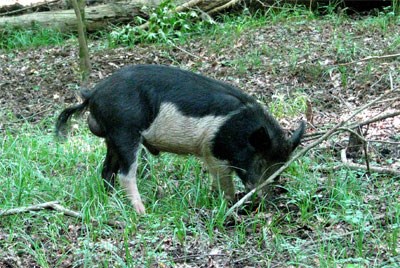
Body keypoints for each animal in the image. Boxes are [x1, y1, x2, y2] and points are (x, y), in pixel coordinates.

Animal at [56, 64, 304, 214]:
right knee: (126, 174)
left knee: (107, 170)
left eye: (281, 167)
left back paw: (110, 199)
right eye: (261, 162)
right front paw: (229, 205)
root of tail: (93, 93)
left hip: (112, 138)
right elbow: (224, 181)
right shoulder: (213, 151)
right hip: (125, 131)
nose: (267, 201)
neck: (241, 129)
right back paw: (142, 211)